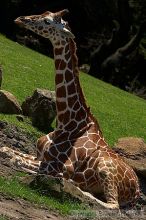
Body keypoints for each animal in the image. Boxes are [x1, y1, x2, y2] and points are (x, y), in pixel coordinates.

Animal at [0, 9, 140, 209]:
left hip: (105, 168)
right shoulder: (39, 156)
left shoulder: (60, 166)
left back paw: (76, 187)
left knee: (113, 206)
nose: (21, 19)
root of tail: (137, 191)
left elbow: (16, 159)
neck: (66, 121)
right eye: (44, 13)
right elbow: (6, 149)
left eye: (47, 21)